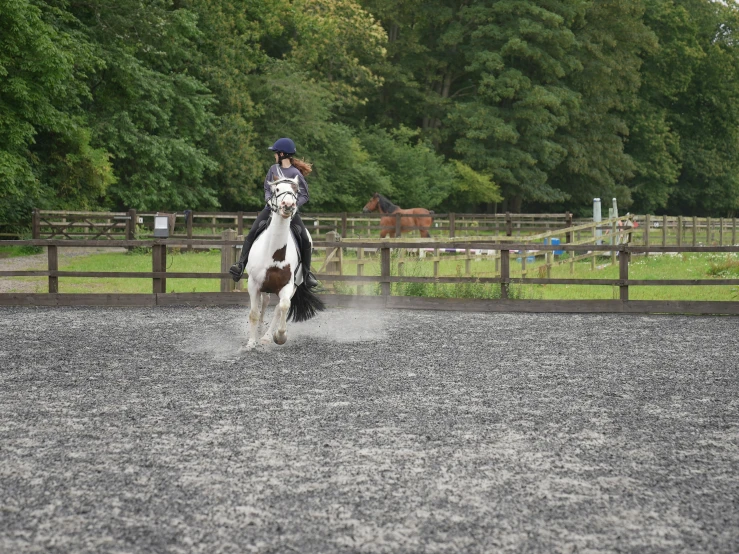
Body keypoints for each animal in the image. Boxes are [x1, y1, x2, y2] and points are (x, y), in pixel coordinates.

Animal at [246, 176, 324, 350]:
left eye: (296, 190)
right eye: (277, 189)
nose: (288, 205)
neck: (274, 257)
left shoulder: (288, 286)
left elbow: (283, 306)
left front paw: (279, 336)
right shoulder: (253, 284)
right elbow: (253, 313)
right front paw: (250, 342)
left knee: (276, 308)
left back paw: (266, 336)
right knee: (264, 303)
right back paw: (259, 330)